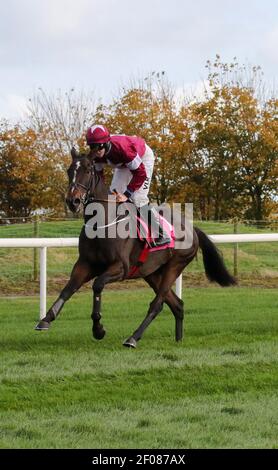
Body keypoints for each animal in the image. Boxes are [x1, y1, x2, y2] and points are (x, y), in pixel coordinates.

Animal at [34, 149, 235, 346]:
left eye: (88, 170)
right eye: (69, 171)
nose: (72, 201)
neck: (102, 223)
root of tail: (192, 228)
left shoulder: (120, 268)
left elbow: (97, 285)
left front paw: (98, 329)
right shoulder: (84, 264)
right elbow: (68, 289)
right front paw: (46, 319)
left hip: (175, 265)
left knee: (158, 304)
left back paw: (133, 338)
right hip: (152, 272)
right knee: (177, 305)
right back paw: (178, 340)